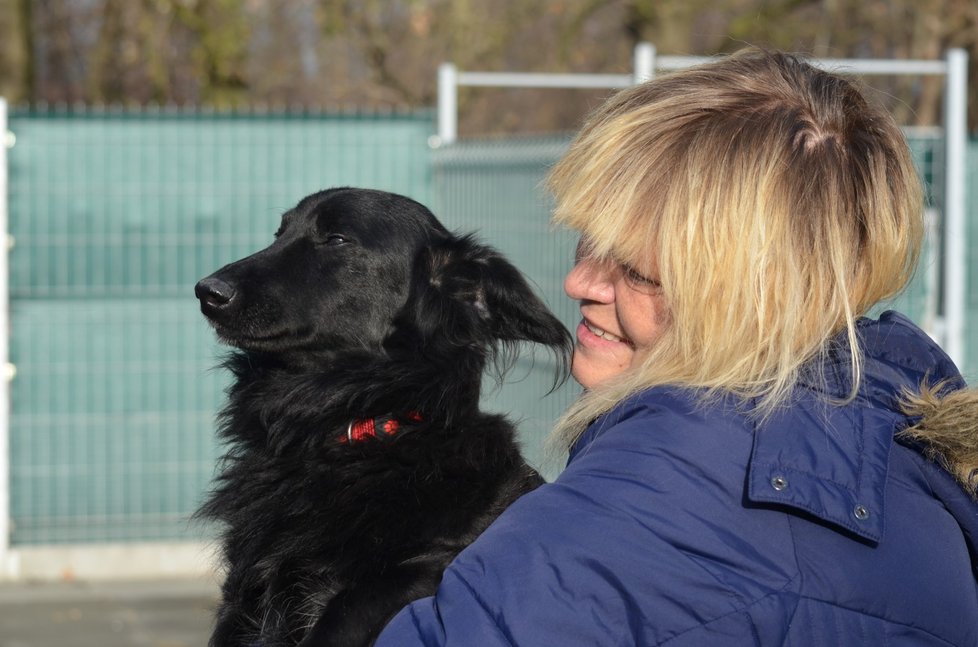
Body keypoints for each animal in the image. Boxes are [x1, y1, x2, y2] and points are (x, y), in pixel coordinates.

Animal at [193, 189, 568, 647]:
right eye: (279, 233)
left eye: (336, 239)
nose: (207, 291)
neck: (353, 425)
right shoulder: (246, 592)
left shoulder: (416, 572)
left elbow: (352, 607)